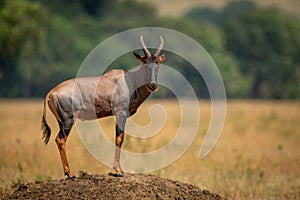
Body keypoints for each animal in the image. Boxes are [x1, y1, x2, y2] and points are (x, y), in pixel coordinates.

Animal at [41, 35, 165, 177]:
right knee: (61, 140)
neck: (129, 80)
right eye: (145, 64)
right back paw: (70, 174)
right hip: (68, 120)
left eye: (158, 65)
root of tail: (52, 91)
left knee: (59, 139)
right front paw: (118, 170)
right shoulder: (120, 112)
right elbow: (119, 138)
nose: (153, 85)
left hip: (61, 121)